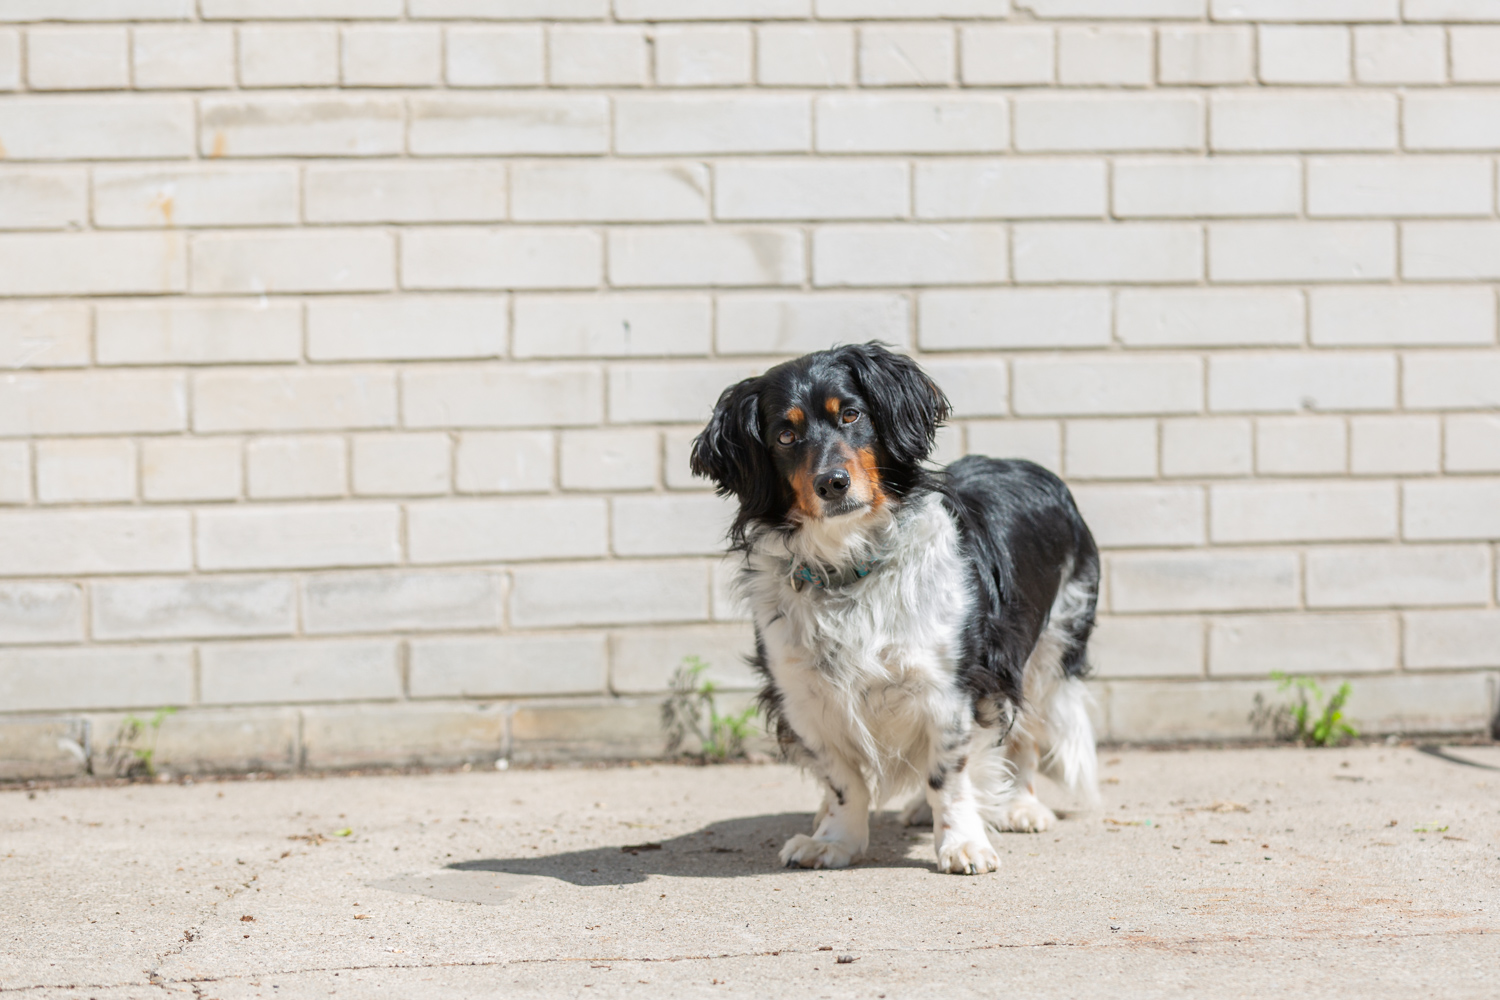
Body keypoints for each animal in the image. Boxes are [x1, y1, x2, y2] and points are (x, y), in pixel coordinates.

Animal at [690, 344, 1104, 875]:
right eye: (785, 435)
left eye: (851, 414)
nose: (832, 483)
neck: (849, 566)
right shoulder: (803, 697)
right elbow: (842, 780)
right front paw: (835, 840)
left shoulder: (953, 686)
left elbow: (948, 775)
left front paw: (961, 843)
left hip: (1046, 653)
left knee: (1024, 733)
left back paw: (1020, 806)